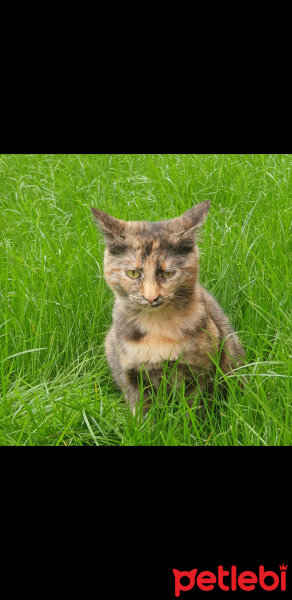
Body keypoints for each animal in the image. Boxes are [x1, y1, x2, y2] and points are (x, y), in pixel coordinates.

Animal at [91, 200, 244, 412]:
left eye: (168, 273)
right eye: (133, 273)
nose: (150, 297)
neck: (157, 327)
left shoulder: (200, 374)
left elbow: (193, 411)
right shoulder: (132, 377)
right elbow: (141, 412)